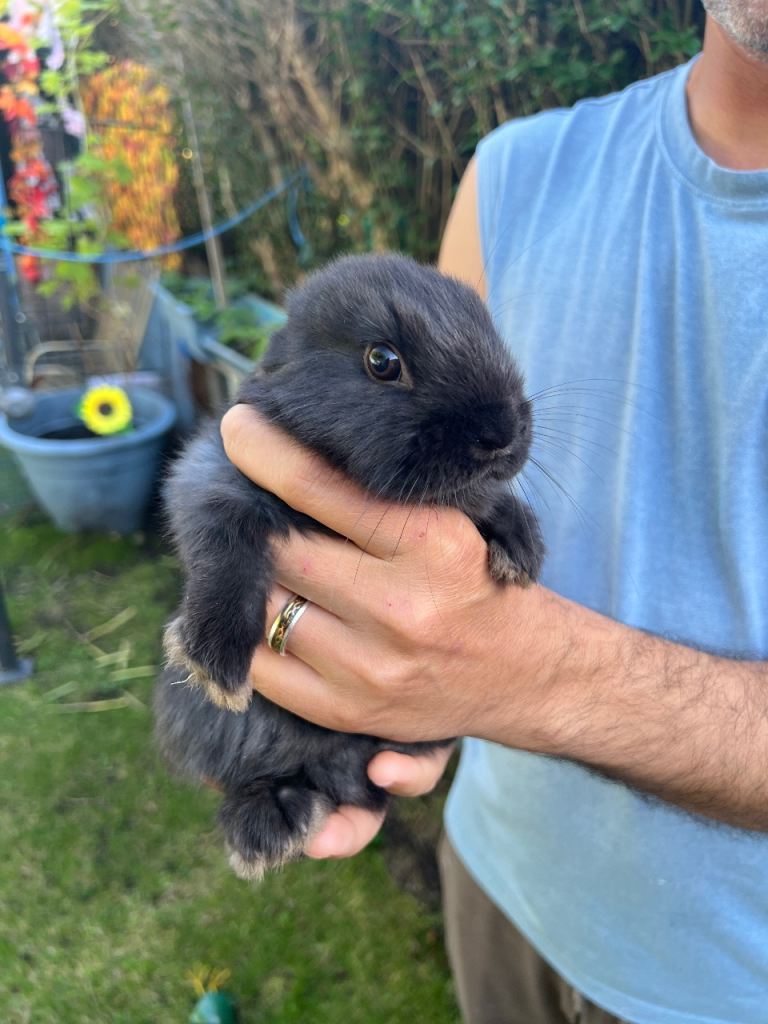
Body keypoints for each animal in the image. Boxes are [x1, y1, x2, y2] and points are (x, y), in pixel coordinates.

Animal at [155, 252, 544, 880]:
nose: (501, 434)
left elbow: (485, 503)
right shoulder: (213, 474)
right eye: (382, 362)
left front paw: (521, 547)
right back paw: (267, 826)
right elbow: (224, 545)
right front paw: (216, 661)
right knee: (252, 776)